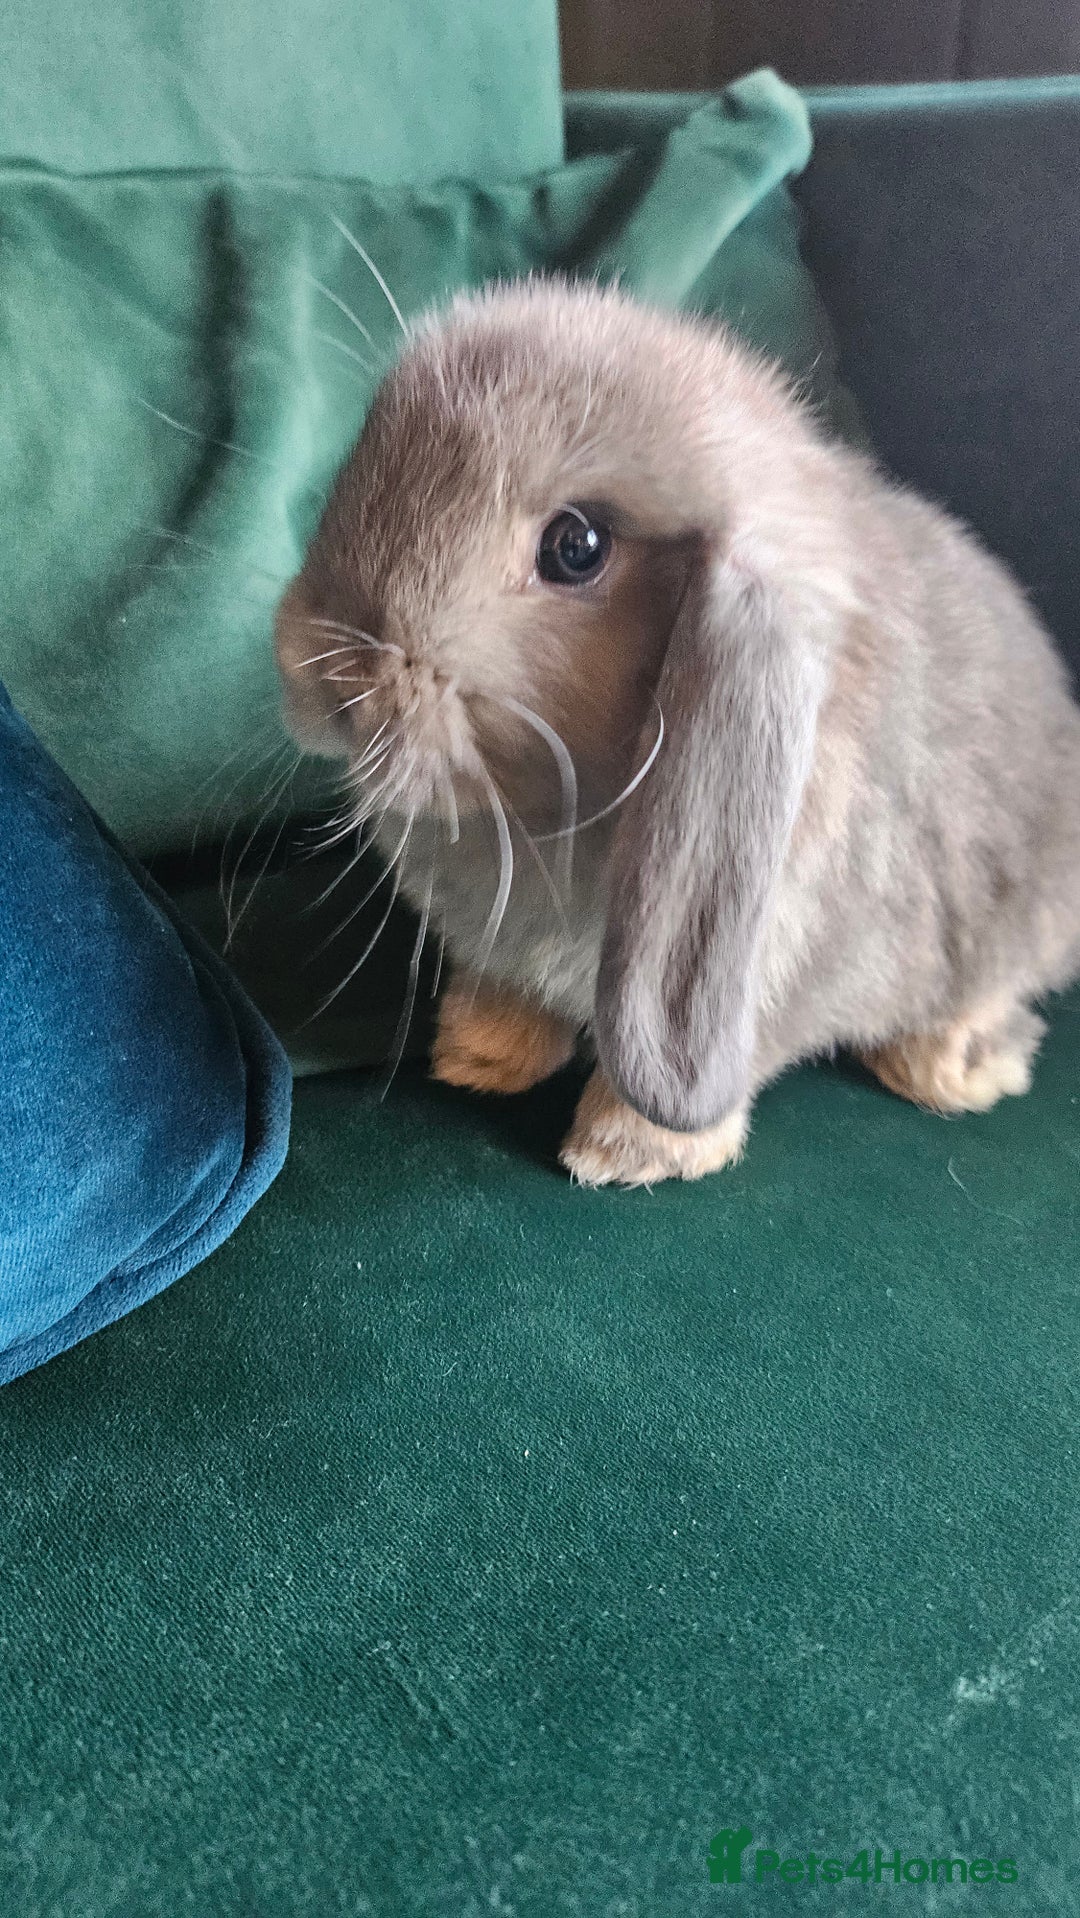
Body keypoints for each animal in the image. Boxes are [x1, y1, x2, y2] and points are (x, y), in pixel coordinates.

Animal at [275, 278, 1080, 1185]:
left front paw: (621, 1151)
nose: (318, 671)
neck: (545, 814)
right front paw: (478, 1054)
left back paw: (957, 1066)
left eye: (577, 546)